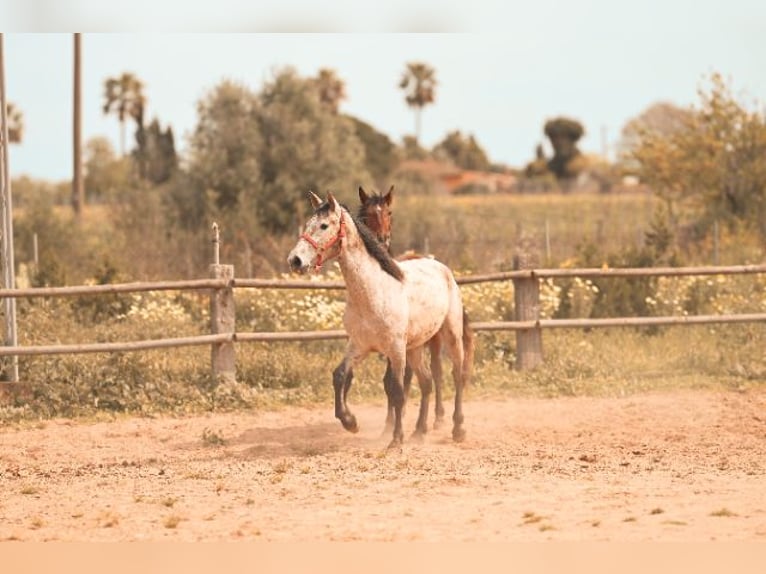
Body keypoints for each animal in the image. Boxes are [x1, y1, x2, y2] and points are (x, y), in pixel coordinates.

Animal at [288, 191, 473, 448]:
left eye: (324, 225)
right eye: (307, 224)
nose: (295, 260)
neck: (373, 291)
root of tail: (442, 268)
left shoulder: (395, 349)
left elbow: (396, 390)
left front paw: (395, 439)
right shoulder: (359, 345)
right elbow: (340, 375)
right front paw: (350, 422)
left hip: (450, 334)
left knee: (456, 375)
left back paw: (458, 429)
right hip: (415, 347)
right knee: (426, 381)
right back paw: (419, 432)